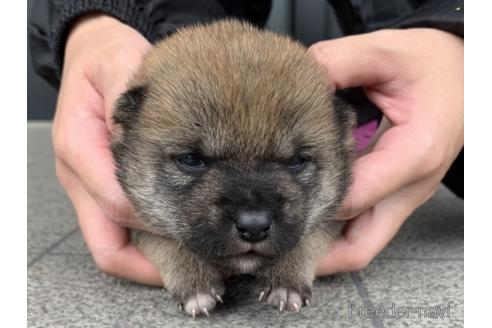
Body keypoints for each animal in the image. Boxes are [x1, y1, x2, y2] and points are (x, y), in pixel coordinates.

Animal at [111, 19, 354, 316]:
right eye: (191, 159)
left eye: (296, 161)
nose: (254, 227)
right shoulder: (139, 218)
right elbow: (167, 240)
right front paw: (195, 280)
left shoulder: (332, 217)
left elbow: (308, 237)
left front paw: (285, 277)